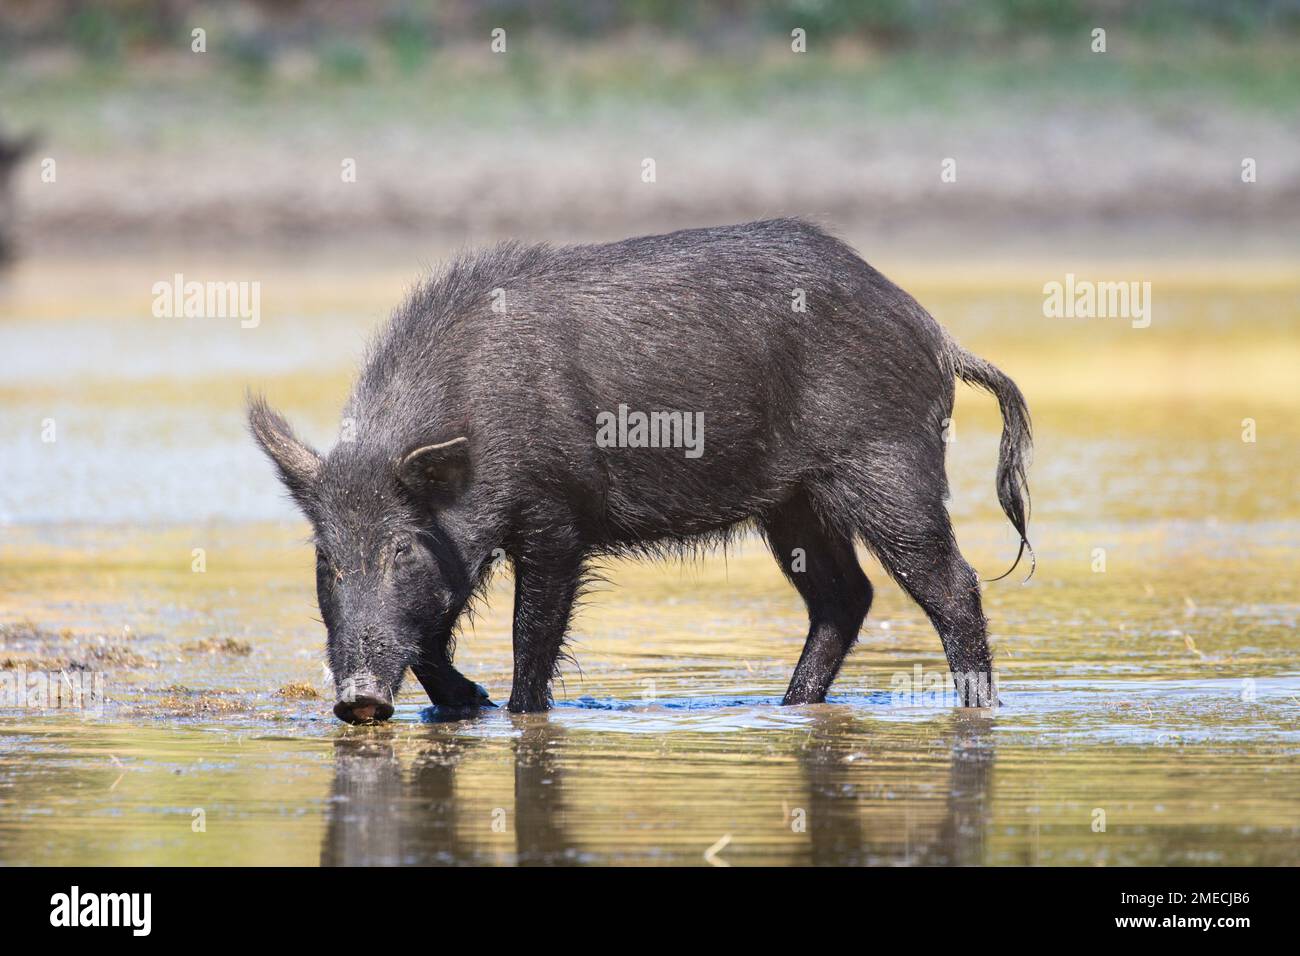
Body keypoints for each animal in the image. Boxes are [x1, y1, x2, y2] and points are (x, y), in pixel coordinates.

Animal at [249, 218, 1031, 722]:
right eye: (326, 558)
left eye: (401, 550)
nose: (358, 699)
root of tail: (935, 335)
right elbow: (434, 632)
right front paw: (470, 704)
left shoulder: (554, 517)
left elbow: (531, 634)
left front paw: (515, 713)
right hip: (792, 504)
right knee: (847, 598)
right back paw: (787, 706)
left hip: (887, 467)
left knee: (953, 586)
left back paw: (977, 710)